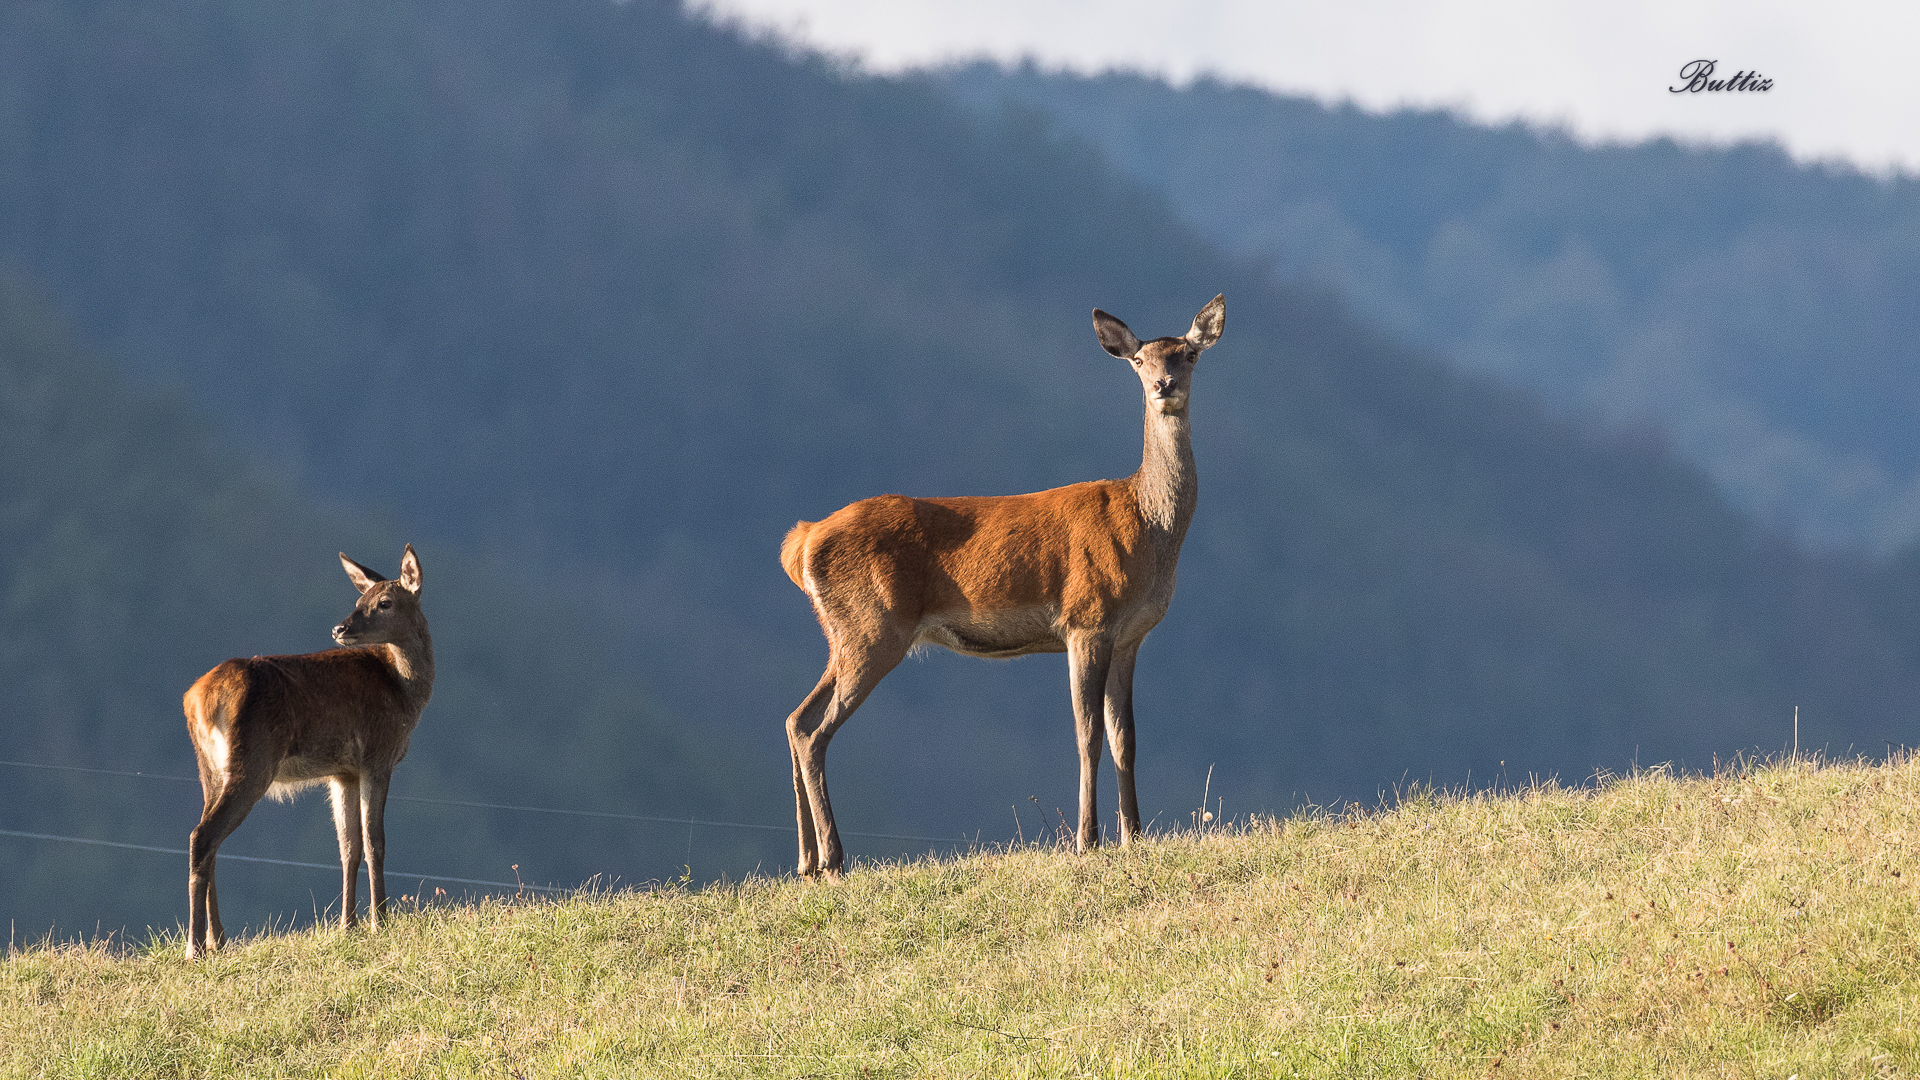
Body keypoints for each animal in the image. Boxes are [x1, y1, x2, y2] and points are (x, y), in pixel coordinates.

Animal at [182, 545, 432, 959]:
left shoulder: (343, 772)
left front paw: (347, 926)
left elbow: (348, 846)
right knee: (203, 835)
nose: (339, 629)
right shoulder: (377, 756)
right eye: (360, 600)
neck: (403, 692)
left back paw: (220, 939)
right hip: (253, 762)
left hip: (210, 768)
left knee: (209, 840)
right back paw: (196, 946)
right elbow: (375, 841)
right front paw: (380, 922)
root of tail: (199, 699)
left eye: (382, 602)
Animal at [779, 294, 1225, 876]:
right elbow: (1088, 735)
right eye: (1138, 361)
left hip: (845, 632)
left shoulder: (1130, 636)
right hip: (871, 625)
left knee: (795, 719)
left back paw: (806, 860)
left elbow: (1125, 737)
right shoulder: (1086, 620)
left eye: (1188, 355)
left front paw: (1136, 836)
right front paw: (1087, 840)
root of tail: (801, 541)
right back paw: (833, 858)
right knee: (813, 729)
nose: (1162, 385)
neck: (1148, 527)